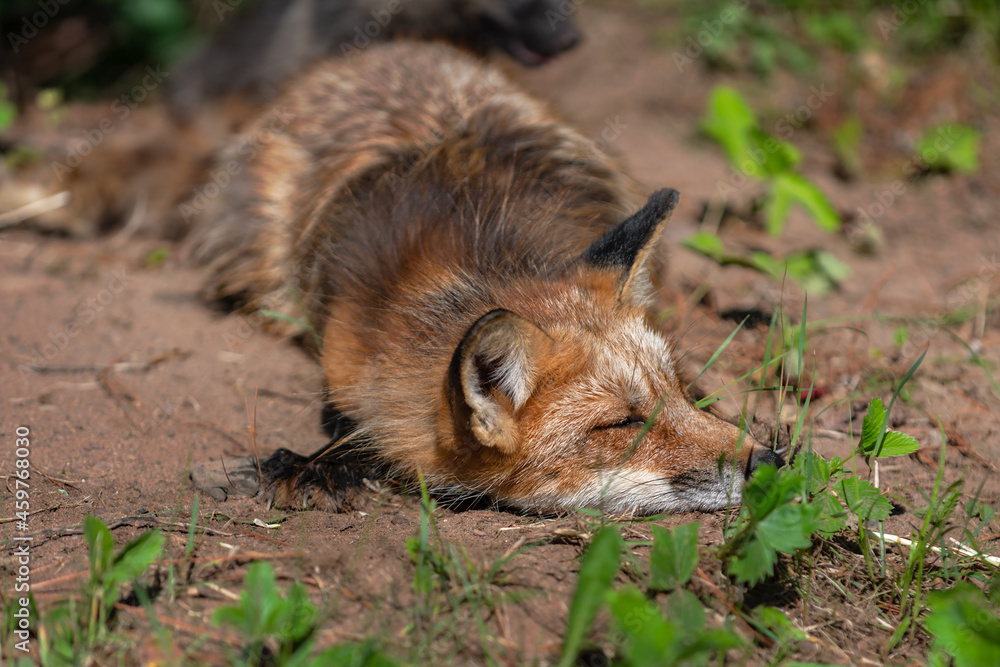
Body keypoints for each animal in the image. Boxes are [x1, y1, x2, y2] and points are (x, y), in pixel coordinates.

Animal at [187, 41, 782, 515]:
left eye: (677, 391)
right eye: (622, 425)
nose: (772, 460)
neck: (481, 253)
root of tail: (383, 49)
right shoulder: (349, 348)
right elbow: (355, 418)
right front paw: (320, 463)